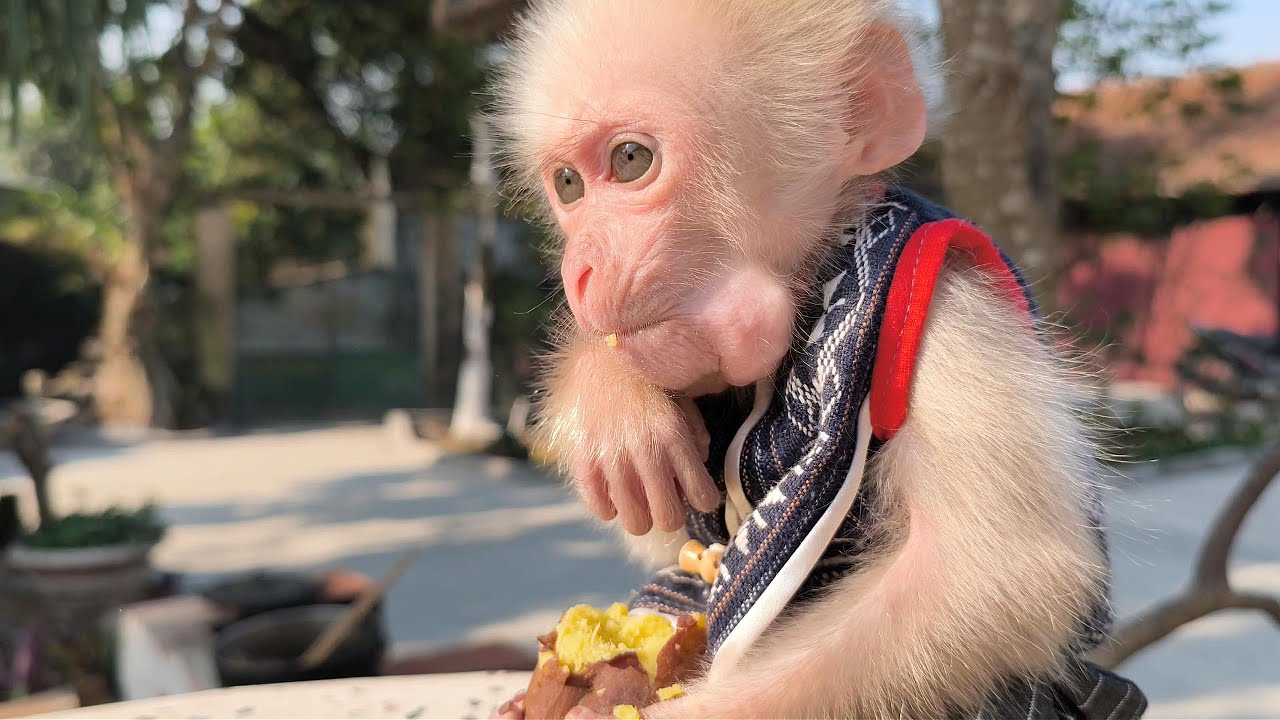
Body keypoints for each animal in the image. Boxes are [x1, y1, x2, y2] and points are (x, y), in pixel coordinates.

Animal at [486, 1, 1149, 718]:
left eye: (631, 159)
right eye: (568, 184)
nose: (578, 271)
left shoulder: (942, 305)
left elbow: (1000, 573)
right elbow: (675, 543)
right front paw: (611, 398)